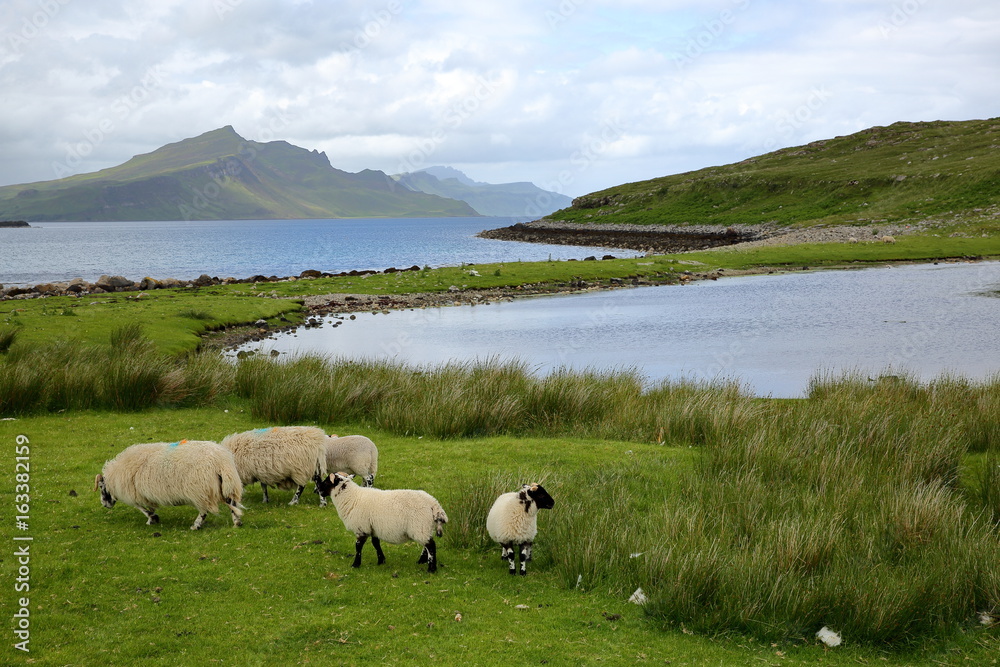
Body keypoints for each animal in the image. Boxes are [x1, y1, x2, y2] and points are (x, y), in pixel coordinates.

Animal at [94, 439, 243, 530]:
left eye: (101, 487)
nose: (104, 505)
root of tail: (220, 461)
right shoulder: (145, 494)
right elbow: (149, 507)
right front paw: (153, 518)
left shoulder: (135, 494)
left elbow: (141, 508)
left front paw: (151, 518)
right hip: (227, 485)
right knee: (232, 503)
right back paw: (237, 522)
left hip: (200, 490)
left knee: (203, 511)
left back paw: (196, 525)